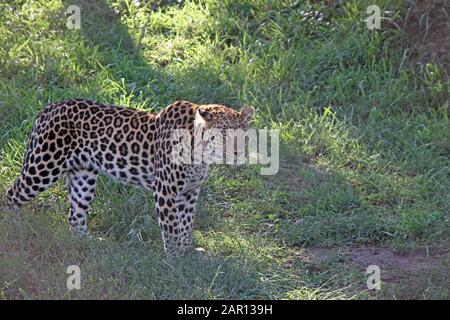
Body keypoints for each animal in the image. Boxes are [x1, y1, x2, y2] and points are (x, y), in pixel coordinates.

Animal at [4, 98, 253, 255]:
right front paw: (175, 262)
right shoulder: (165, 189)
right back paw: (12, 232)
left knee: (75, 217)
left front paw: (186, 253)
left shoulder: (189, 192)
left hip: (83, 175)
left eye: (243, 134)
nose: (239, 153)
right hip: (42, 167)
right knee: (11, 196)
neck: (200, 154)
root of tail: (49, 107)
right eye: (223, 134)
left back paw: (92, 244)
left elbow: (186, 224)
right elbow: (172, 228)